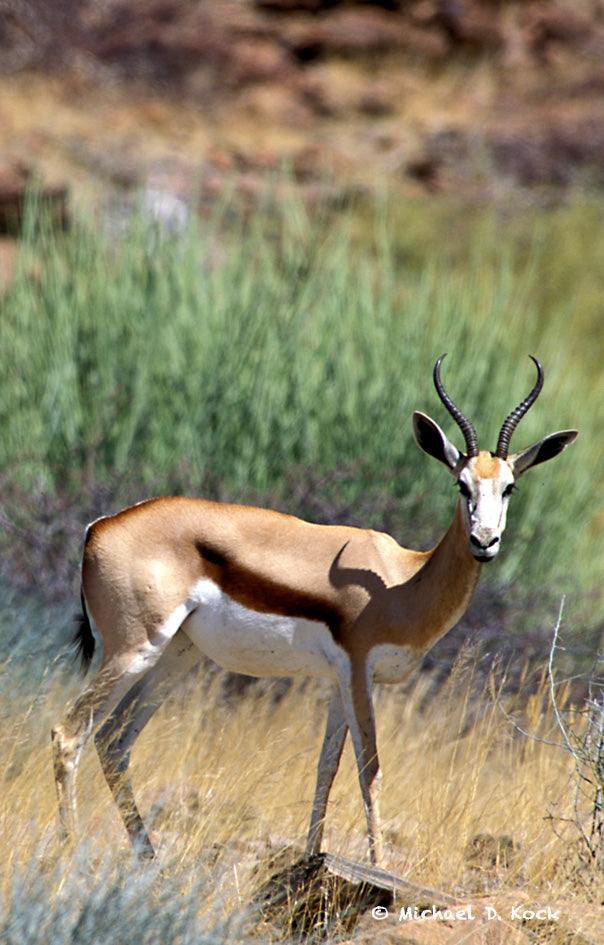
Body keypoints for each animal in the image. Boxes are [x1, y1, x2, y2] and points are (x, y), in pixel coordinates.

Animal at [52, 354, 576, 864]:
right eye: (461, 485)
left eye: (509, 487)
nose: (484, 542)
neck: (403, 579)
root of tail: (100, 526)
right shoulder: (359, 671)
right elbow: (369, 769)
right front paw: (378, 866)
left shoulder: (340, 679)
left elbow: (327, 765)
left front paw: (311, 857)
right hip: (133, 649)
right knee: (69, 733)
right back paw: (71, 853)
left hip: (176, 658)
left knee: (114, 740)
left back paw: (148, 859)